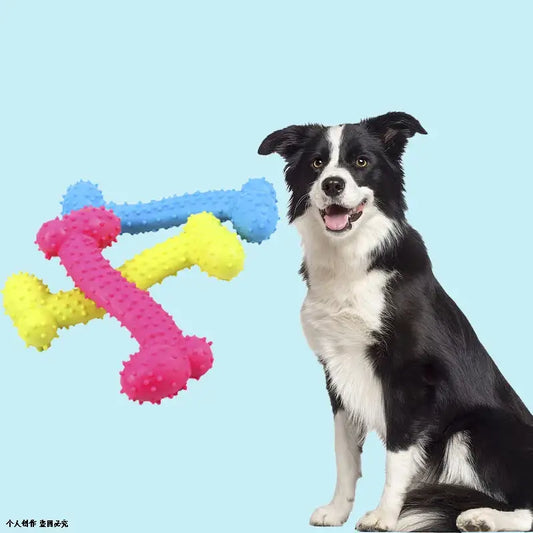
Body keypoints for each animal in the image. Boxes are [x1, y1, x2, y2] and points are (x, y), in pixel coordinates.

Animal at [258, 113, 532, 532]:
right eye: (317, 163)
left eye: (361, 162)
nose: (332, 184)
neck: (351, 261)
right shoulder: (337, 370)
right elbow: (344, 453)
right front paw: (338, 510)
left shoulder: (409, 378)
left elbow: (397, 454)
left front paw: (385, 515)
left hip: (474, 430)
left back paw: (482, 516)